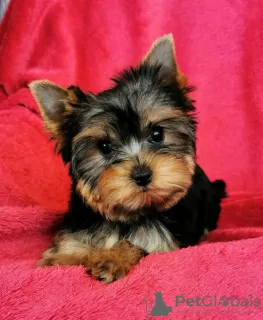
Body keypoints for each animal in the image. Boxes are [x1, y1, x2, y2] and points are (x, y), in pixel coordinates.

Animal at [29, 35, 227, 282]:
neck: (131, 214)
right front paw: (61, 256)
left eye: (157, 134)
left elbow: (135, 245)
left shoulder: (162, 243)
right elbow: (74, 242)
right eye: (104, 147)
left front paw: (113, 258)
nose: (142, 175)